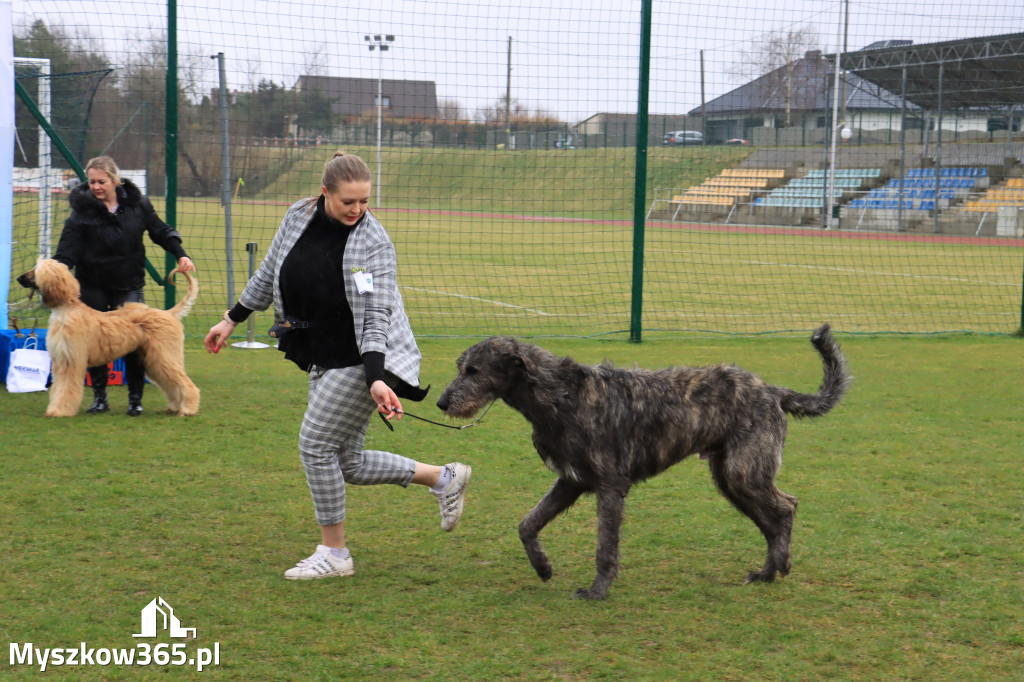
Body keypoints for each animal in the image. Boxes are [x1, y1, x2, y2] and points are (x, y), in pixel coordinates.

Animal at [18, 259, 199, 413]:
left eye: (35, 271)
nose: (19, 278)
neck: (66, 310)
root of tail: (169, 313)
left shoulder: (72, 360)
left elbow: (66, 388)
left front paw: (60, 411)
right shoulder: (61, 360)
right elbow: (59, 387)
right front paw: (55, 408)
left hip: (164, 355)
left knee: (185, 382)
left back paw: (188, 409)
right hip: (152, 358)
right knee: (170, 383)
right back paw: (175, 407)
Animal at [432, 323, 847, 593]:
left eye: (474, 370)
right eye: (460, 367)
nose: (441, 402)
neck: (560, 395)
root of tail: (772, 390)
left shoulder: (610, 486)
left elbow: (605, 546)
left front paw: (598, 590)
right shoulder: (571, 481)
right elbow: (527, 524)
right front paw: (543, 566)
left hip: (745, 473)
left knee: (786, 508)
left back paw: (779, 565)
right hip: (731, 479)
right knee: (771, 519)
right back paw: (767, 572)